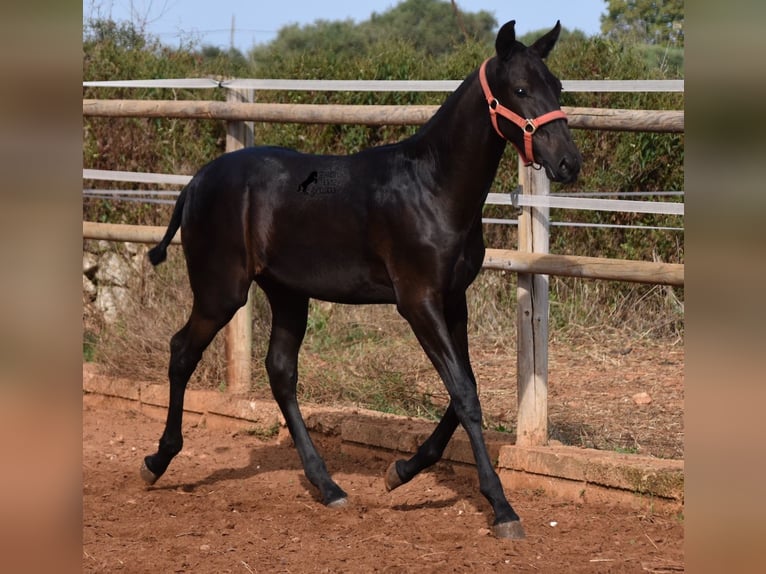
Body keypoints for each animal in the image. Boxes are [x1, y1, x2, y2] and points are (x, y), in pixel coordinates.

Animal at [142, 21, 584, 540]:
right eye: (520, 90)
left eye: (557, 86)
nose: (568, 163)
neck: (432, 187)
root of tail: (194, 184)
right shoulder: (418, 302)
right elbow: (464, 393)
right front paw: (502, 508)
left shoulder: (453, 300)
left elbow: (463, 388)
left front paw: (401, 471)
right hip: (221, 292)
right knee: (182, 352)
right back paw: (157, 460)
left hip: (287, 294)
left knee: (280, 372)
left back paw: (328, 486)